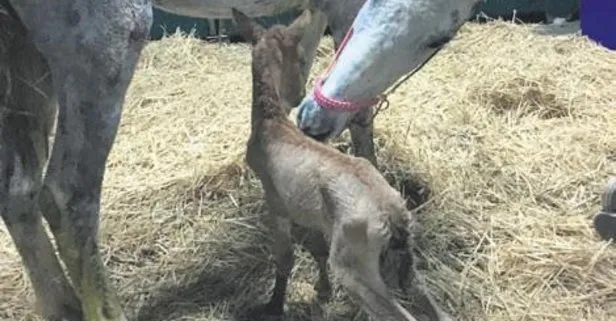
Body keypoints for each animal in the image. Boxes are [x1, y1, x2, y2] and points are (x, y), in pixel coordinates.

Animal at [0, 0, 380, 320]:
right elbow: (359, 110)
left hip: (25, 53)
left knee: (18, 190)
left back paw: (64, 308)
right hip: (102, 41)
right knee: (67, 195)